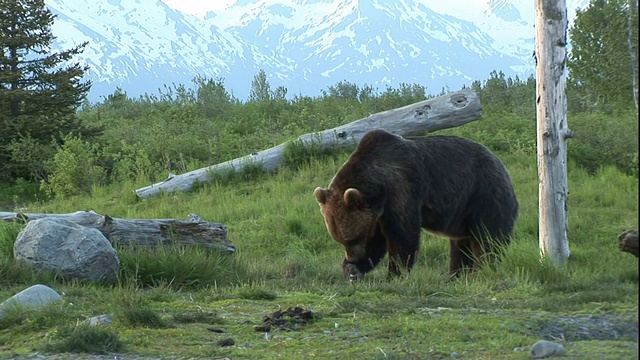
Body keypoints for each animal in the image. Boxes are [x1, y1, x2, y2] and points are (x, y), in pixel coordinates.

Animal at [312, 129, 516, 282]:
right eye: (340, 239)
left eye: (353, 237)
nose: (352, 258)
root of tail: (501, 164)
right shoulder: (376, 213)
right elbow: (376, 240)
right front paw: (353, 270)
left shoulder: (401, 190)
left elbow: (403, 235)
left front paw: (394, 275)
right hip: (462, 213)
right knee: (460, 244)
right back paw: (455, 276)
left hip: (483, 197)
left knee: (488, 238)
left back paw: (482, 270)